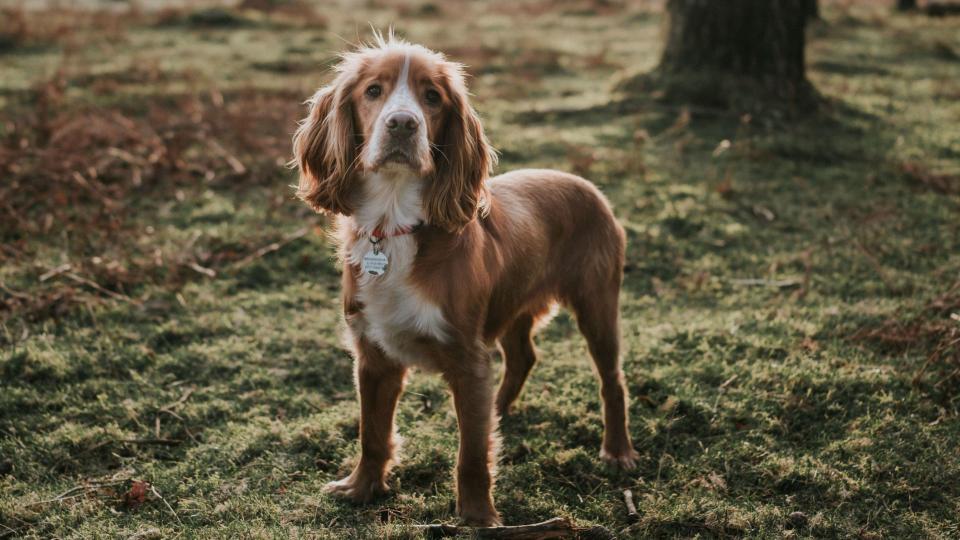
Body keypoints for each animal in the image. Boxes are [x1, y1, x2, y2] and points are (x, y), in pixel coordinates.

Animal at [292, 31, 636, 524]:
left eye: (432, 97)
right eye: (373, 91)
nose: (403, 124)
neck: (394, 225)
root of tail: (588, 185)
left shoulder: (467, 357)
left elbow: (471, 454)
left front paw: (477, 517)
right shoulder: (373, 355)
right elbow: (371, 433)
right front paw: (361, 488)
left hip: (597, 304)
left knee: (612, 379)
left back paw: (618, 451)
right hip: (512, 305)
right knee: (523, 356)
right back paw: (499, 411)